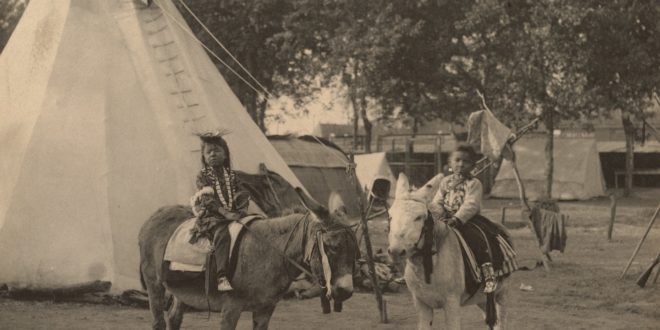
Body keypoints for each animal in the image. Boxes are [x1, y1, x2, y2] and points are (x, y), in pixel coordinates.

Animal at [386, 174, 510, 328]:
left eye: (419, 217)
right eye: (390, 215)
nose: (395, 251)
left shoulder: (452, 303)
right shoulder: (422, 304)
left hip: (501, 293)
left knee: (500, 322)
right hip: (482, 298)